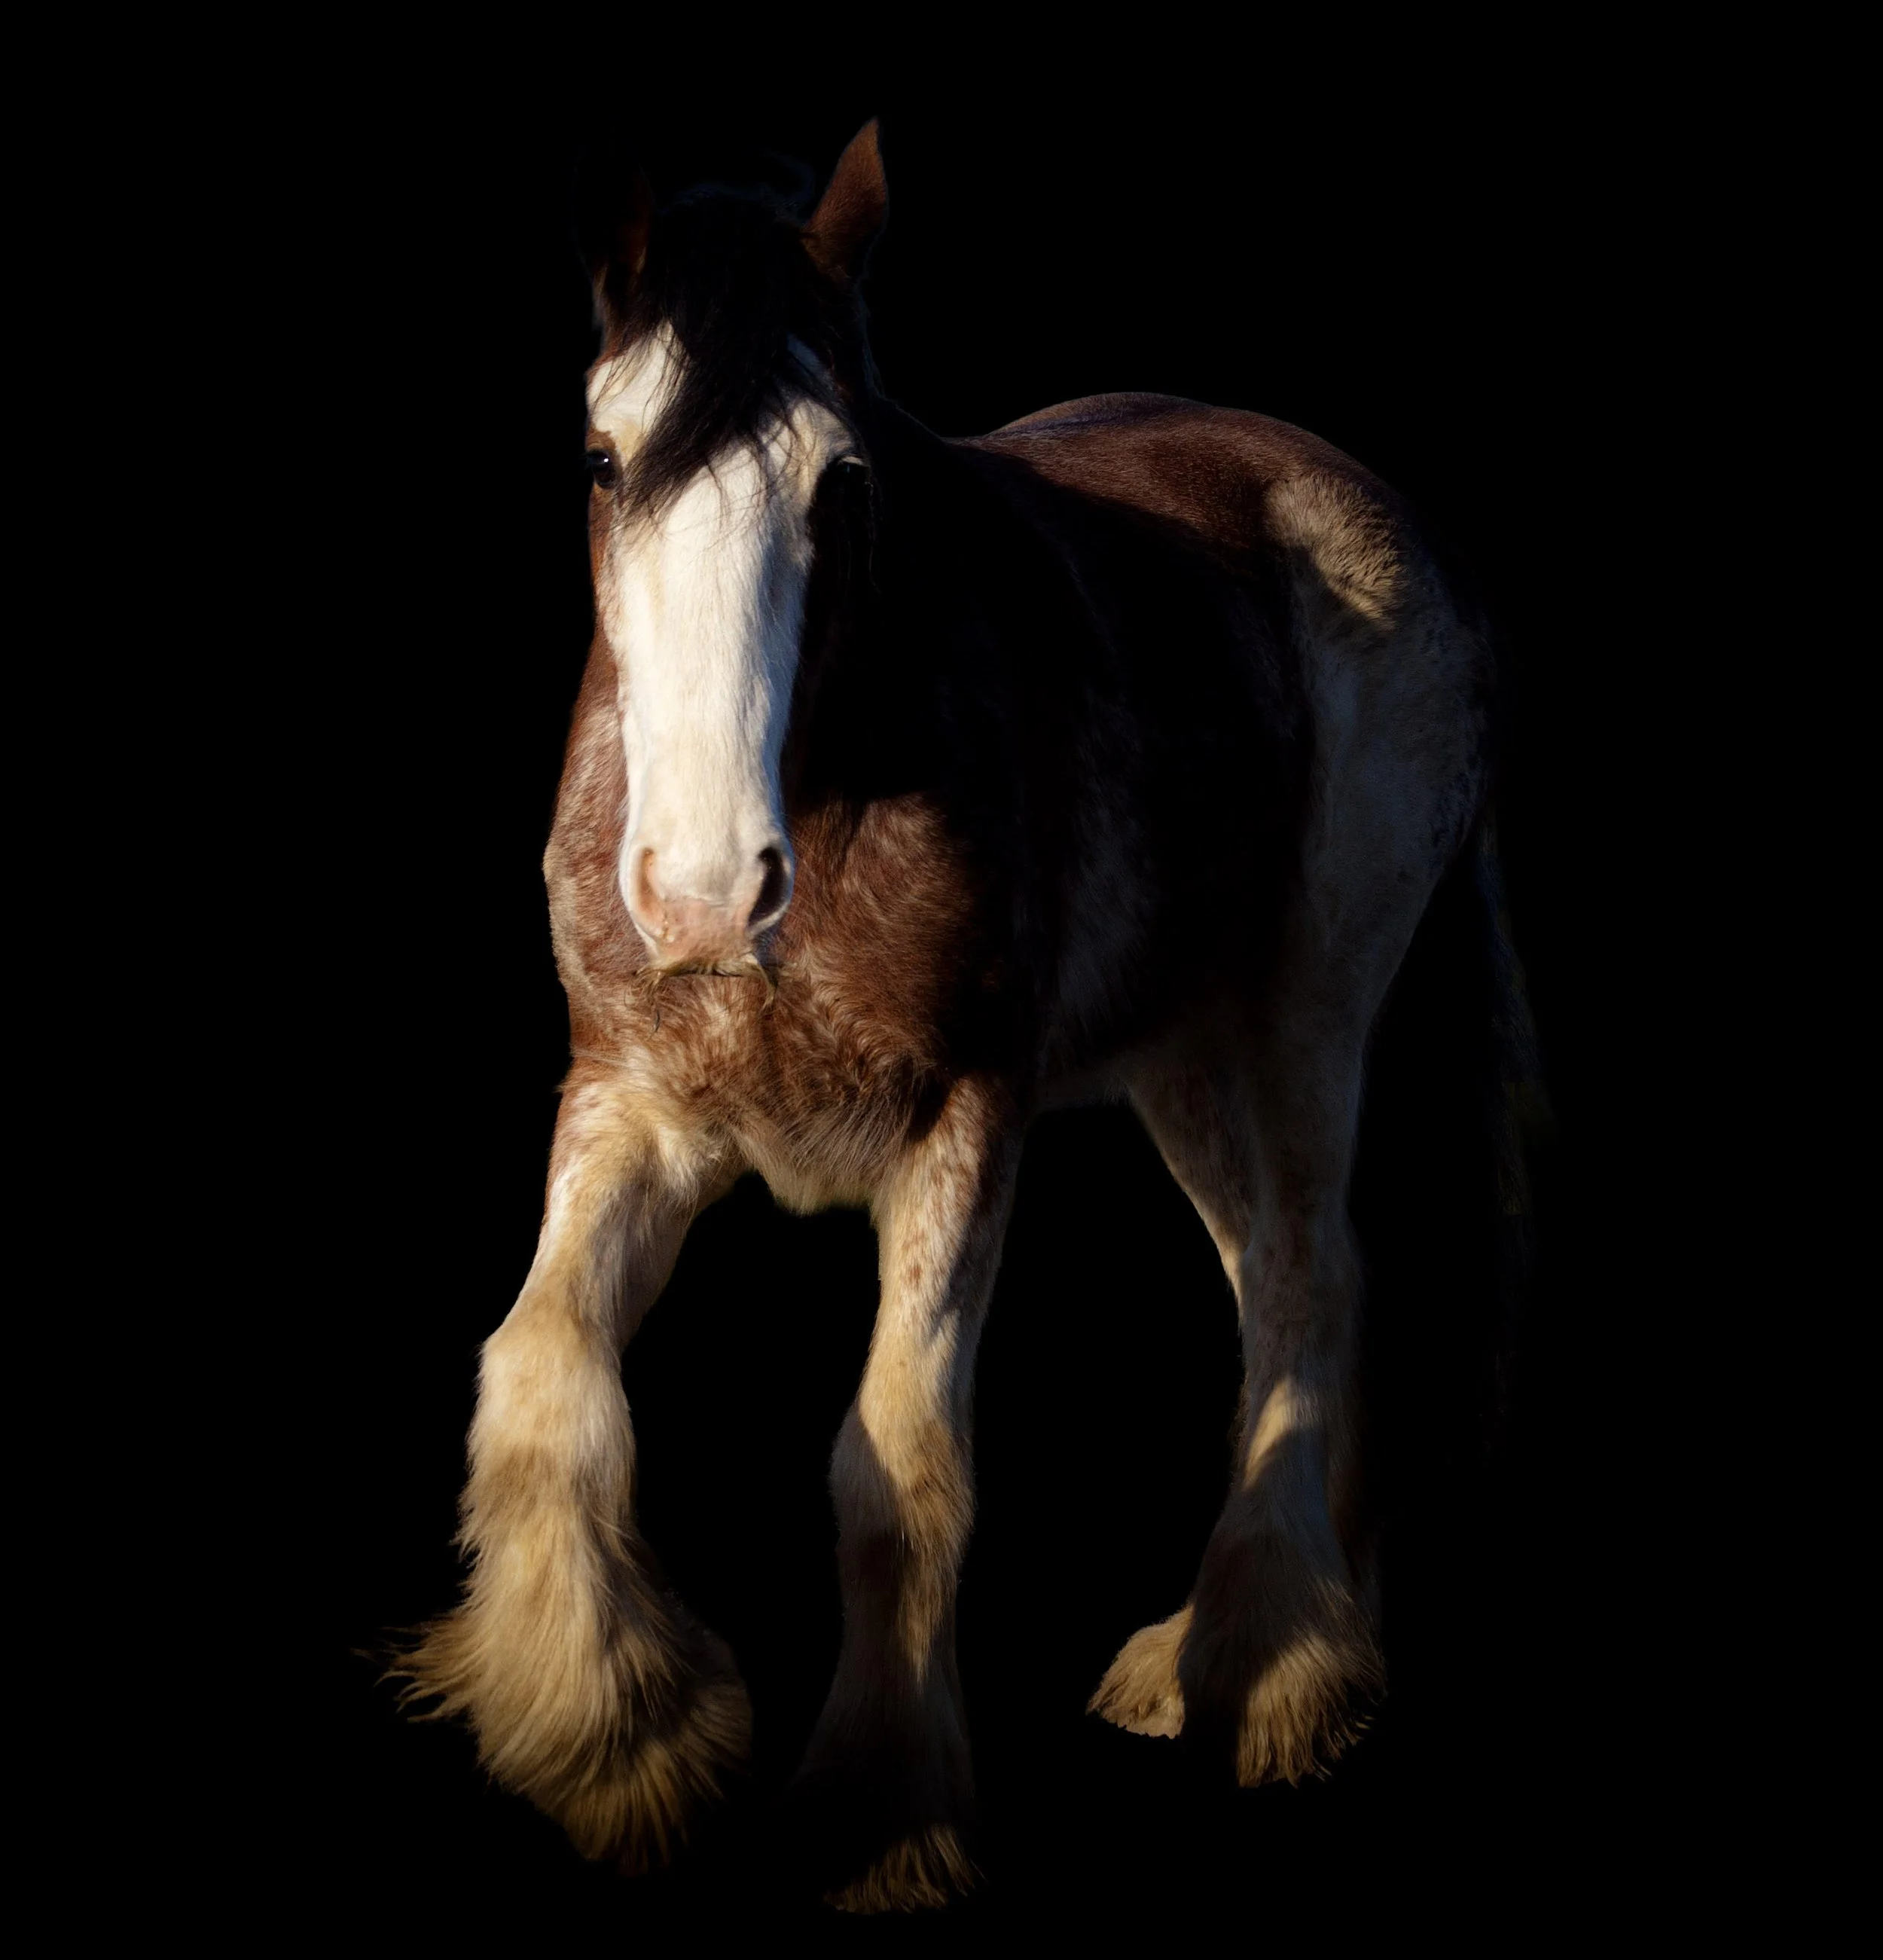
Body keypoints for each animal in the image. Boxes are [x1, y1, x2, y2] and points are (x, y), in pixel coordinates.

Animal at [399, 120, 1534, 1912]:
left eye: (841, 480)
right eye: (598, 458)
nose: (705, 889)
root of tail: (1366, 498)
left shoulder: (961, 1124)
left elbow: (897, 1466)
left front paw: (875, 1816)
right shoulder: (631, 1110)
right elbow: (539, 1378)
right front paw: (613, 1736)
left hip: (1307, 1004)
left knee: (1309, 1275)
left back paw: (1273, 1668)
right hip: (1181, 1059)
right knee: (1279, 1282)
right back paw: (1251, 1646)